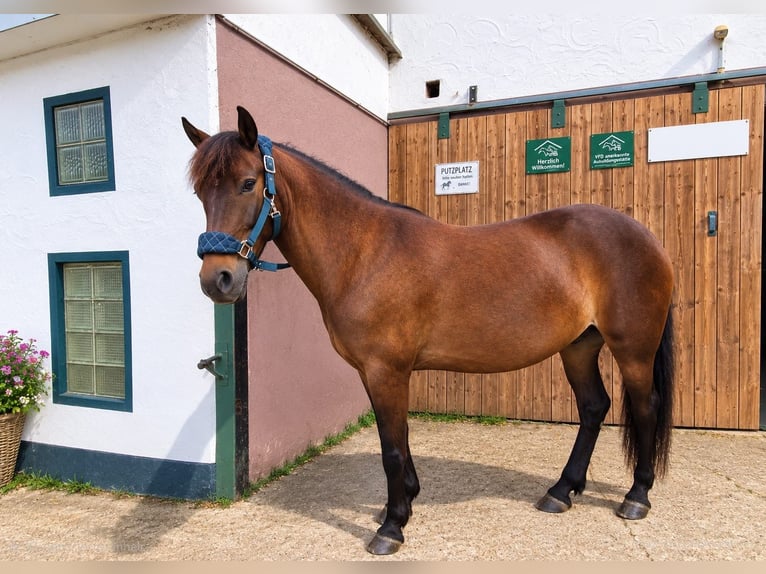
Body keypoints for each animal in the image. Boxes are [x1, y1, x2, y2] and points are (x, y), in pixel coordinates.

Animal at [181, 106, 675, 555]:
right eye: (200, 191)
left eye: (248, 183)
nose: (216, 280)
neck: (364, 252)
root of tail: (647, 237)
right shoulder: (376, 373)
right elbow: (398, 439)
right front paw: (401, 504)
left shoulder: (387, 370)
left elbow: (392, 449)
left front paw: (392, 528)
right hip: (578, 347)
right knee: (593, 408)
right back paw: (560, 491)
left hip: (633, 349)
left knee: (645, 407)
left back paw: (636, 497)